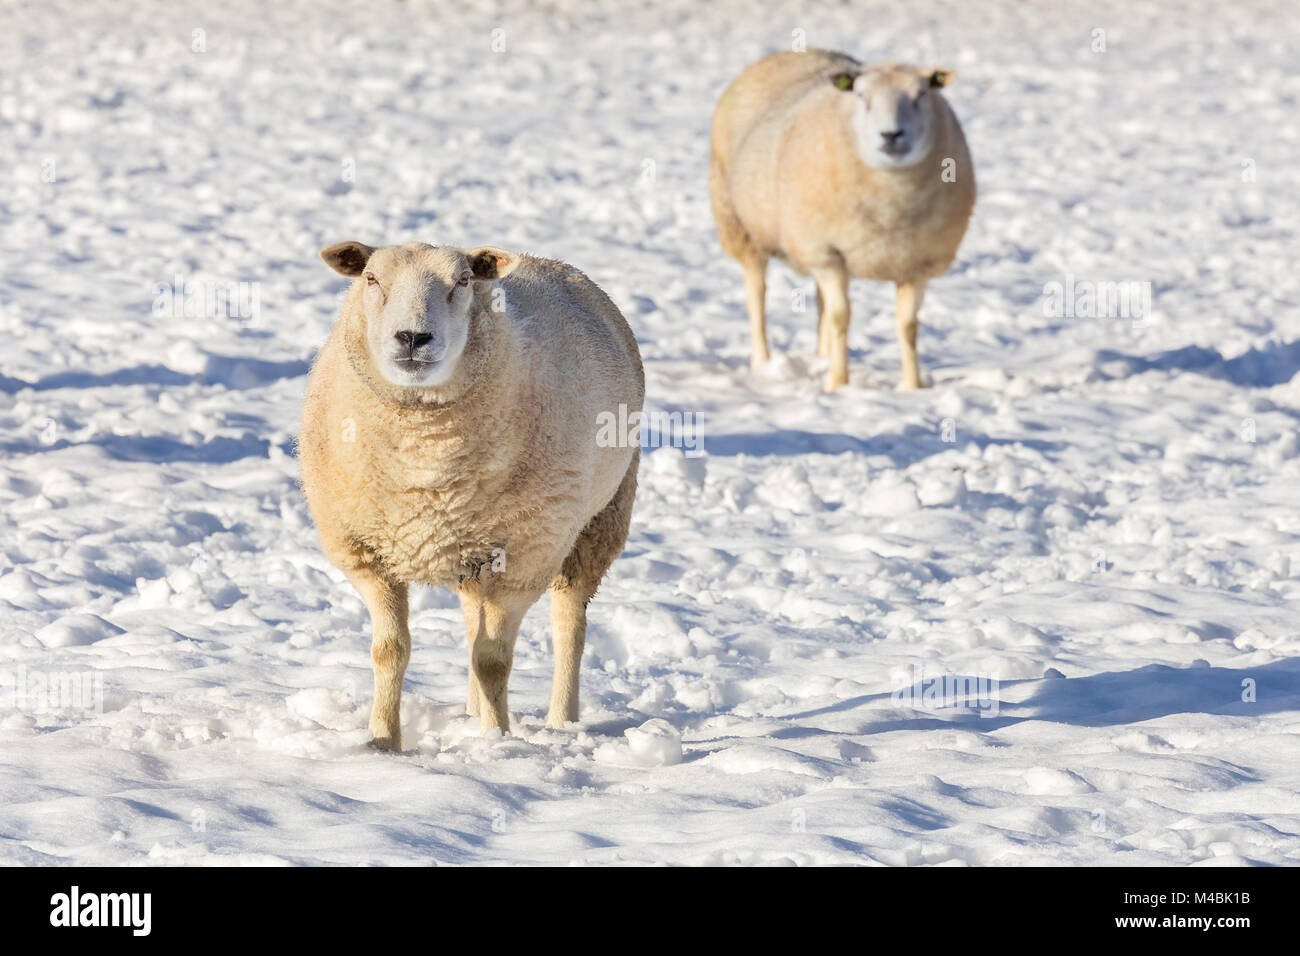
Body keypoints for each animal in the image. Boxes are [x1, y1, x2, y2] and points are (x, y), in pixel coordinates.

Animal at [298, 241, 644, 747]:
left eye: (462, 280)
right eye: (371, 279)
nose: (412, 337)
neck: (424, 464)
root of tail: (541, 258)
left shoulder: (525, 557)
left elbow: (493, 660)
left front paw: (496, 741)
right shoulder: (366, 553)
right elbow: (390, 650)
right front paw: (382, 741)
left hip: (600, 518)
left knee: (569, 626)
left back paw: (560, 721)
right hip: (470, 551)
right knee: (470, 620)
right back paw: (471, 712)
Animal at [710, 50, 976, 391]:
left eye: (921, 95)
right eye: (862, 96)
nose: (891, 135)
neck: (891, 208)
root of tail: (795, 51)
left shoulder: (918, 263)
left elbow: (908, 325)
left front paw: (912, 386)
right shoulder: (826, 251)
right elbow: (841, 317)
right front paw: (838, 383)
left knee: (819, 301)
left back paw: (821, 357)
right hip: (741, 227)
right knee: (757, 295)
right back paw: (762, 362)